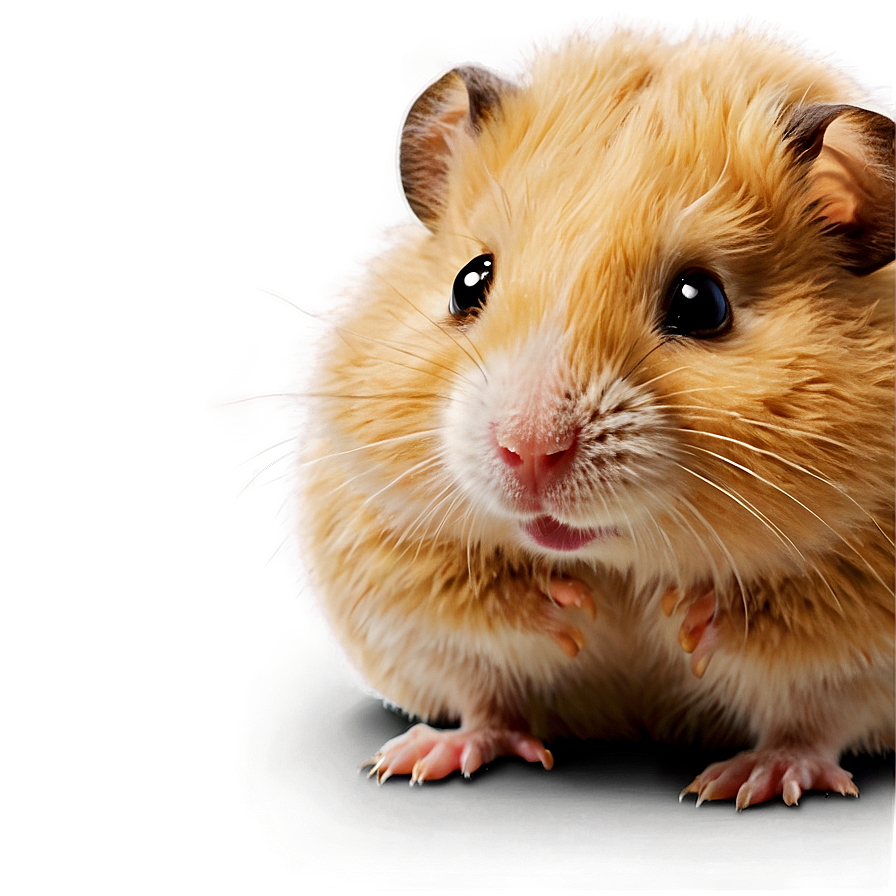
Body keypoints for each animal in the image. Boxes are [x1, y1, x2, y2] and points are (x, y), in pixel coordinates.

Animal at [289, 19, 895, 808]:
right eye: (468, 281)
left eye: (702, 302)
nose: (528, 454)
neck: (615, 559)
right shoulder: (384, 546)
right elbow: (476, 621)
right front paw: (569, 609)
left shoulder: (860, 590)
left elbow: (797, 655)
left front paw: (686, 618)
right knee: (487, 711)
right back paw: (425, 755)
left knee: (806, 733)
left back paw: (752, 779)